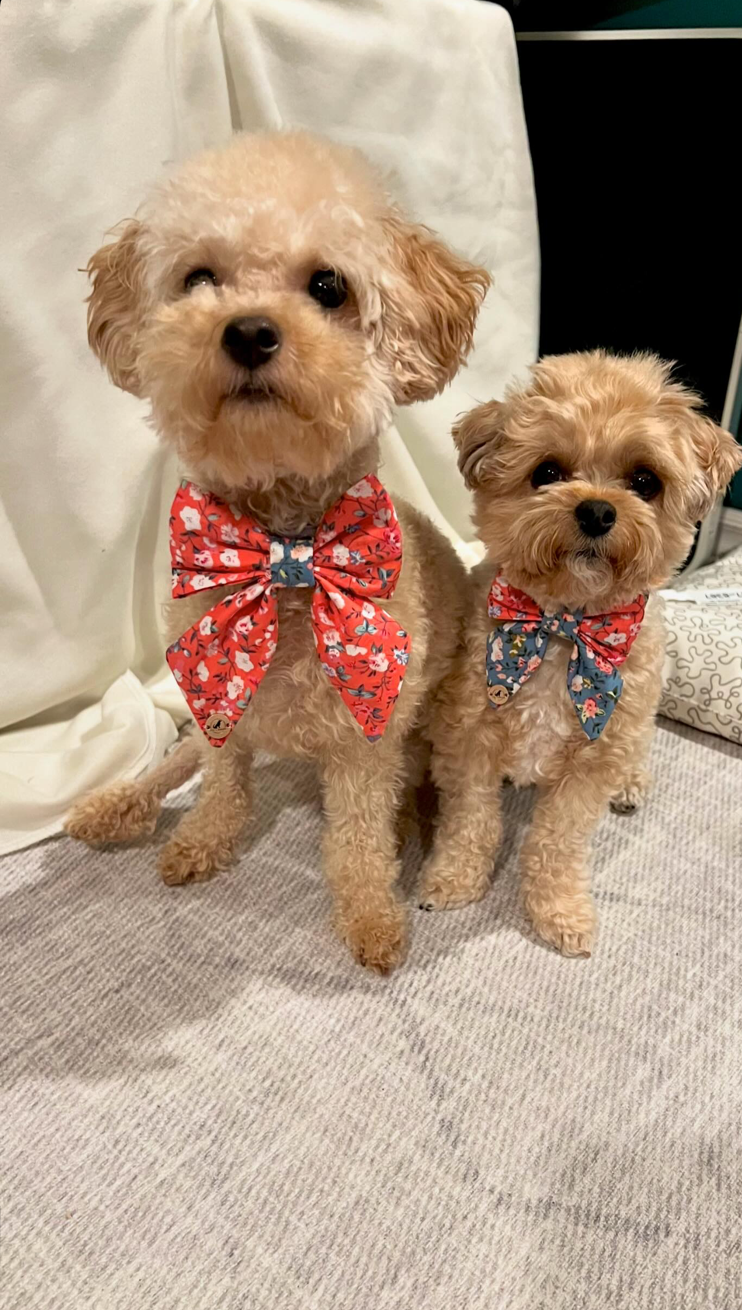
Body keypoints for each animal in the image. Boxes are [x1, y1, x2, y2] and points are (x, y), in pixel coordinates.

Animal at [66, 130, 490, 974]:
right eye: (199, 278)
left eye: (329, 286)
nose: (249, 331)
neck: (284, 550)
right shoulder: (217, 692)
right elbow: (221, 784)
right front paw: (199, 843)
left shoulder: (365, 741)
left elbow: (357, 839)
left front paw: (371, 916)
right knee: (177, 761)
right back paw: (114, 805)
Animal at [422, 353, 739, 958]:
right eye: (547, 472)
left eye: (645, 481)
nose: (596, 511)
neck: (565, 629)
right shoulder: (471, 739)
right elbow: (471, 822)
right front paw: (453, 879)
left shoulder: (588, 766)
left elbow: (556, 843)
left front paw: (559, 911)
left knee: (638, 748)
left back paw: (632, 782)